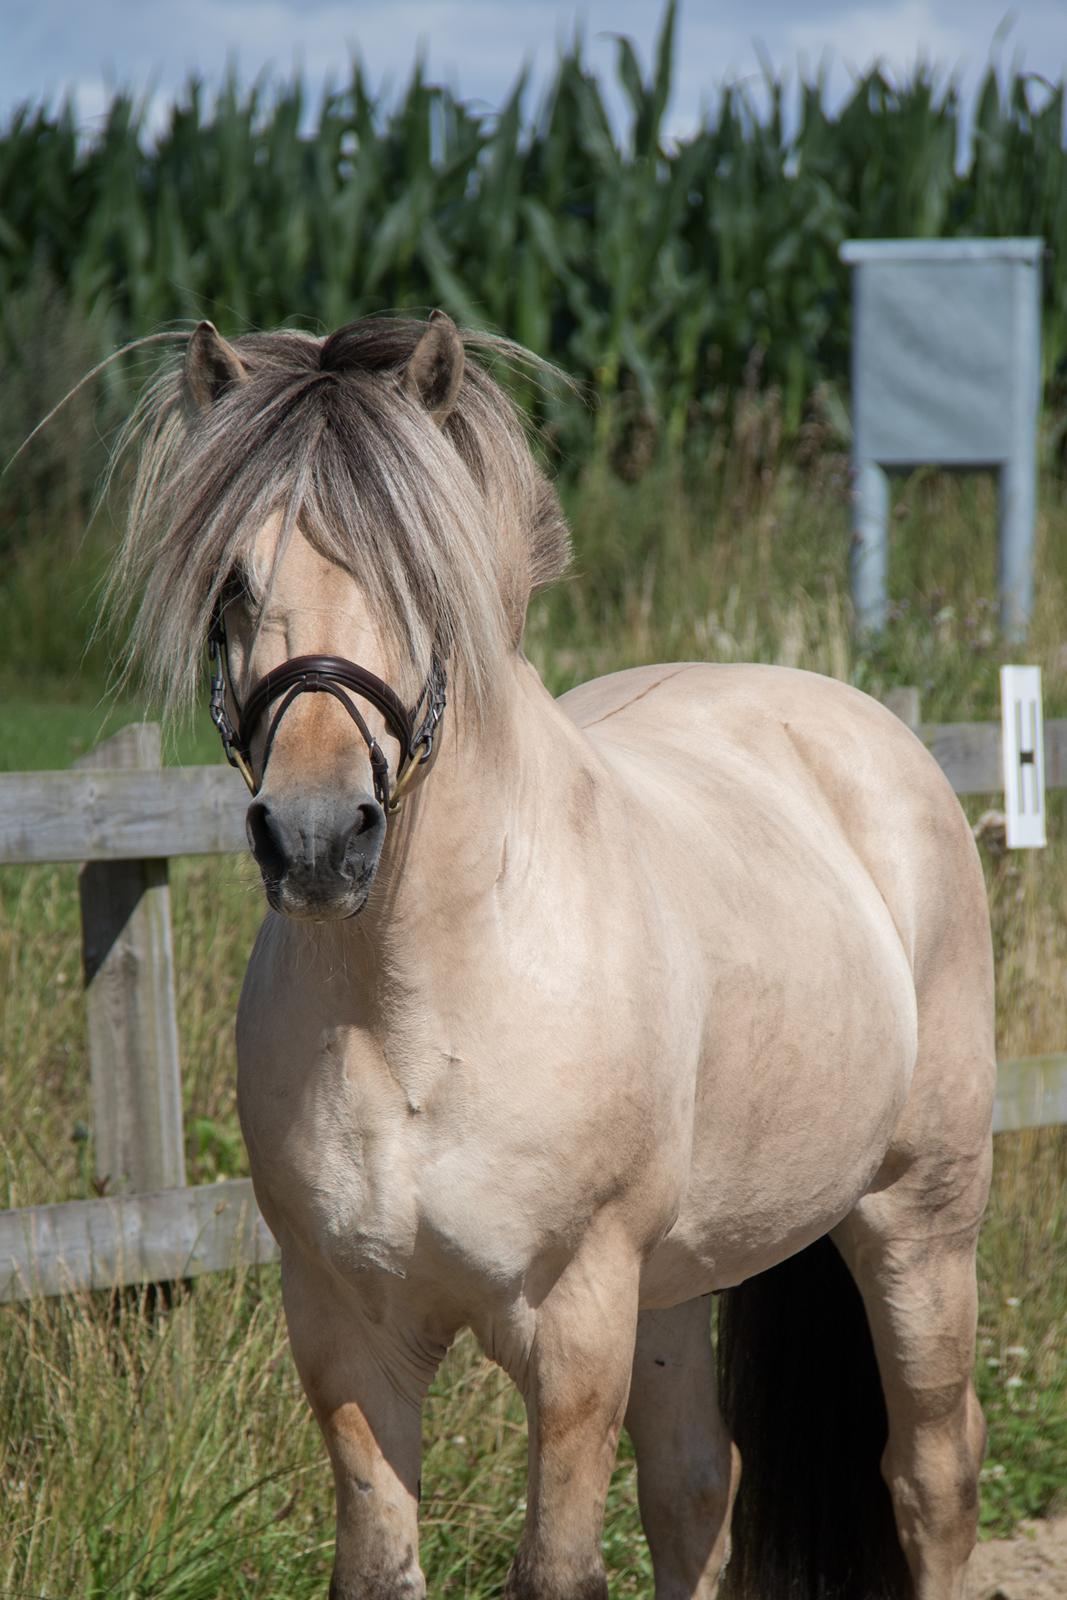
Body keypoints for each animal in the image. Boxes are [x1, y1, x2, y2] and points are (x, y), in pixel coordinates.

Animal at [108, 315, 991, 1600]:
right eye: (234, 582)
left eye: (422, 579)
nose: (316, 836)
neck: (415, 1012)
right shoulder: (344, 1333)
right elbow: (383, 1562)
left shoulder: (574, 1326)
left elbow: (559, 1569)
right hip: (676, 1280)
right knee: (694, 1487)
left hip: (916, 1219)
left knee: (929, 1474)